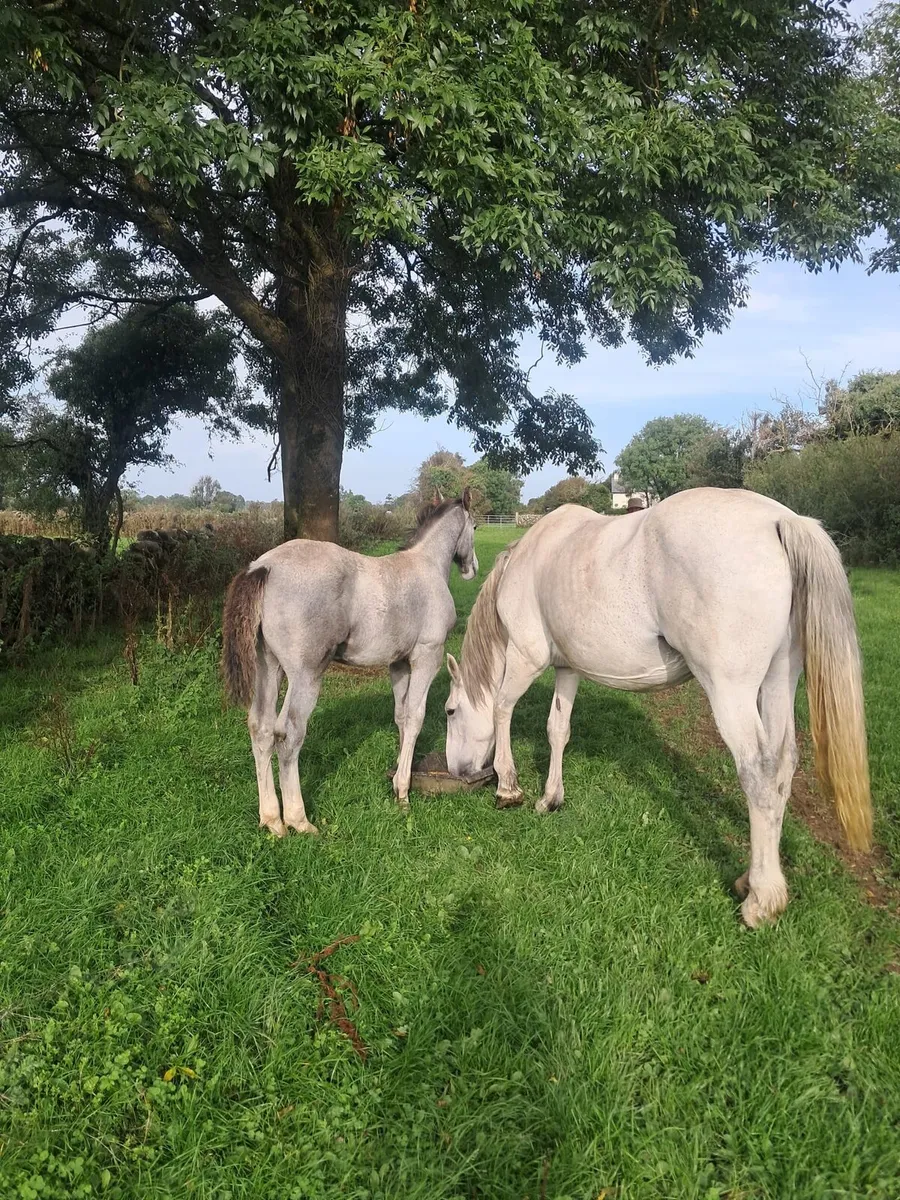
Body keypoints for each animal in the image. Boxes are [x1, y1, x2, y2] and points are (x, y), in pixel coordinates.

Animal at [221, 491, 477, 836]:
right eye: (475, 526)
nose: (471, 568)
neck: (426, 567)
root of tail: (263, 567)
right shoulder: (427, 656)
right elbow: (415, 717)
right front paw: (403, 794)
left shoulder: (398, 664)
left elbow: (400, 717)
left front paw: (397, 776)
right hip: (306, 675)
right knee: (288, 735)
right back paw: (298, 820)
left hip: (269, 667)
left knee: (260, 729)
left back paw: (272, 820)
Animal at [444, 489, 872, 927]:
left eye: (449, 711)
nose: (456, 771)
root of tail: (780, 520)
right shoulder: (568, 668)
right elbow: (557, 730)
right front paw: (550, 799)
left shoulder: (526, 658)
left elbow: (501, 709)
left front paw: (507, 788)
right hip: (778, 681)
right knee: (784, 762)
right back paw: (751, 880)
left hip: (731, 691)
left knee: (760, 772)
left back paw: (762, 900)